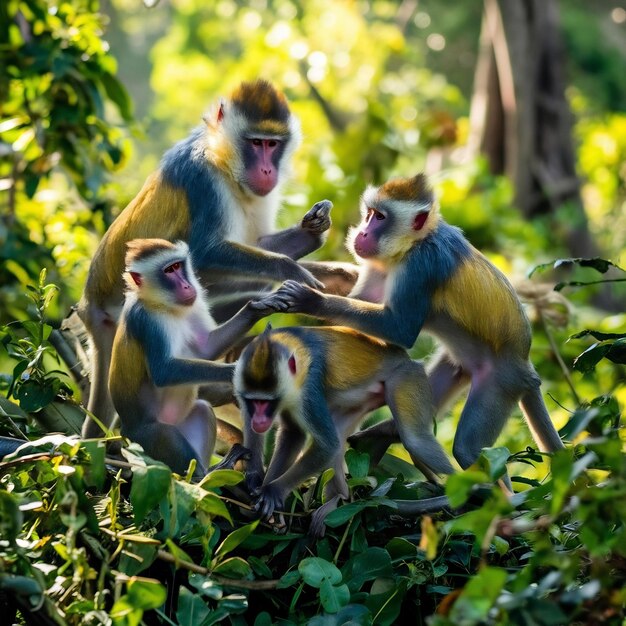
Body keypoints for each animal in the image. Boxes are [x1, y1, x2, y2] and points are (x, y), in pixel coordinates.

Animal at [77, 80, 356, 436]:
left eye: (273, 143)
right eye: (256, 143)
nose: (267, 169)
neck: (225, 162)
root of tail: (92, 305)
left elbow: (261, 242)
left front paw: (314, 230)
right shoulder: (204, 180)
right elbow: (203, 252)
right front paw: (290, 269)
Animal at [106, 236, 290, 476]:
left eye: (178, 266)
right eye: (168, 271)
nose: (187, 285)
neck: (165, 306)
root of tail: (125, 433)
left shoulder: (193, 305)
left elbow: (205, 348)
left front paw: (257, 307)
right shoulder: (146, 321)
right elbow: (164, 372)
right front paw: (236, 371)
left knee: (202, 410)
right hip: (145, 440)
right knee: (166, 438)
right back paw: (204, 475)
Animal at [232, 322, 450, 532]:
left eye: (265, 402)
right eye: (253, 401)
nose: (258, 421)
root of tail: (407, 359)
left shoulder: (309, 389)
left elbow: (325, 445)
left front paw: (272, 491)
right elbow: (294, 433)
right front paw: (259, 487)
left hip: (406, 377)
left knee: (415, 441)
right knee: (338, 431)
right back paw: (340, 500)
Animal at [276, 172, 560, 488]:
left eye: (380, 218)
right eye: (370, 214)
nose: (363, 233)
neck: (411, 244)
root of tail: (524, 365)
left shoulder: (420, 265)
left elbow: (401, 329)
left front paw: (311, 299)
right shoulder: (380, 263)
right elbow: (363, 298)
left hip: (502, 381)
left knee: (469, 449)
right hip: (459, 365)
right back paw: (385, 434)